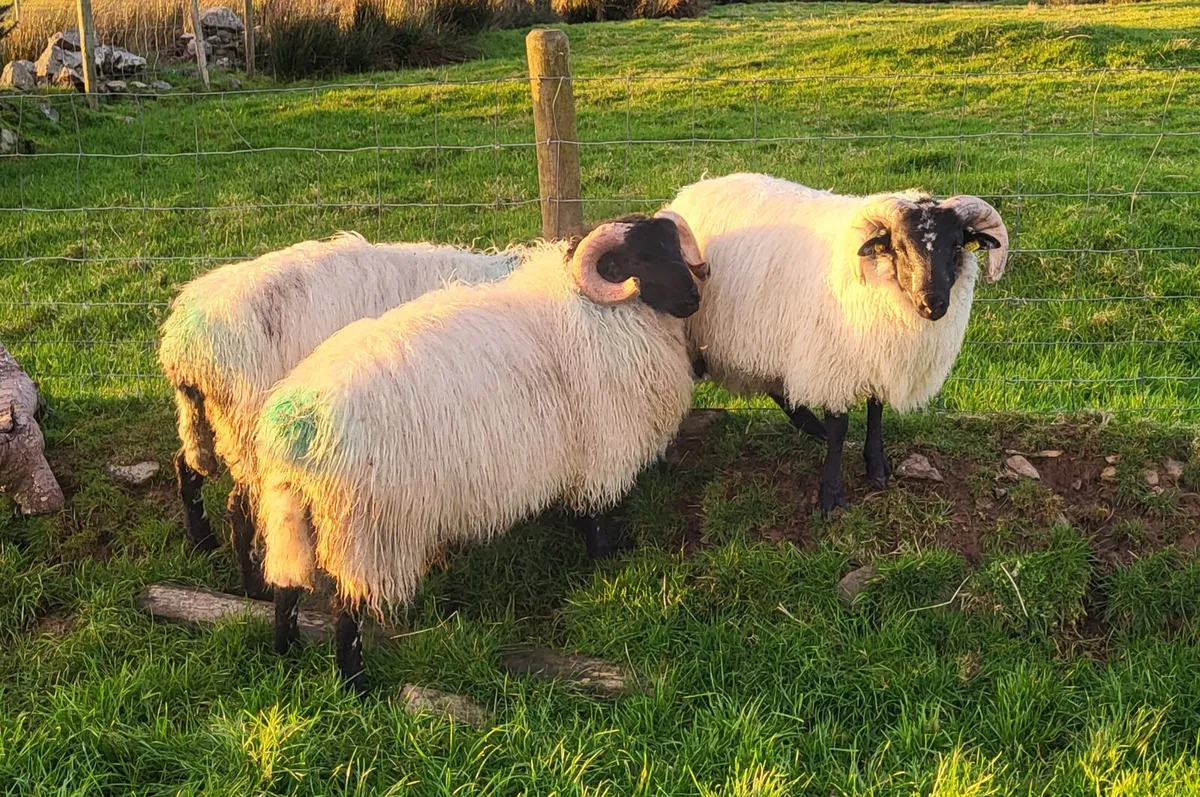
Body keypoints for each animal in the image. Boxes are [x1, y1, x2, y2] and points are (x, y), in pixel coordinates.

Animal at [158, 233, 522, 597]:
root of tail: (187, 346)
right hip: (250, 431)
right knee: (241, 510)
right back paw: (254, 587)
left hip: (204, 421)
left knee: (187, 466)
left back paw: (202, 542)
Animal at [257, 212, 708, 694]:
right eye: (639, 259)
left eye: (673, 247)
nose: (693, 299)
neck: (592, 309)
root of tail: (298, 424)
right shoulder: (600, 454)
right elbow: (596, 520)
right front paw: (604, 567)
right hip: (366, 530)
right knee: (348, 610)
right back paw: (355, 684)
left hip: (288, 513)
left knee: (285, 586)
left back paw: (285, 654)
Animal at [666, 173, 1008, 516]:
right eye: (898, 246)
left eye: (956, 245)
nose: (932, 304)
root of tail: (694, 189)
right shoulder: (832, 362)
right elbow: (839, 427)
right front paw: (831, 494)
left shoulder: (876, 356)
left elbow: (876, 410)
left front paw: (876, 466)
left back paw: (808, 425)